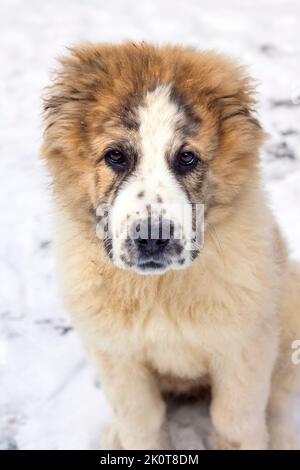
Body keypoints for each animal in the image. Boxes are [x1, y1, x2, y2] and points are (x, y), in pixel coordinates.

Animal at [42, 42, 300, 450]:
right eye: (116, 156)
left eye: (186, 157)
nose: (152, 236)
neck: (161, 289)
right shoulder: (117, 354)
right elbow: (142, 422)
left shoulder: (243, 346)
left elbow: (236, 421)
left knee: (278, 397)